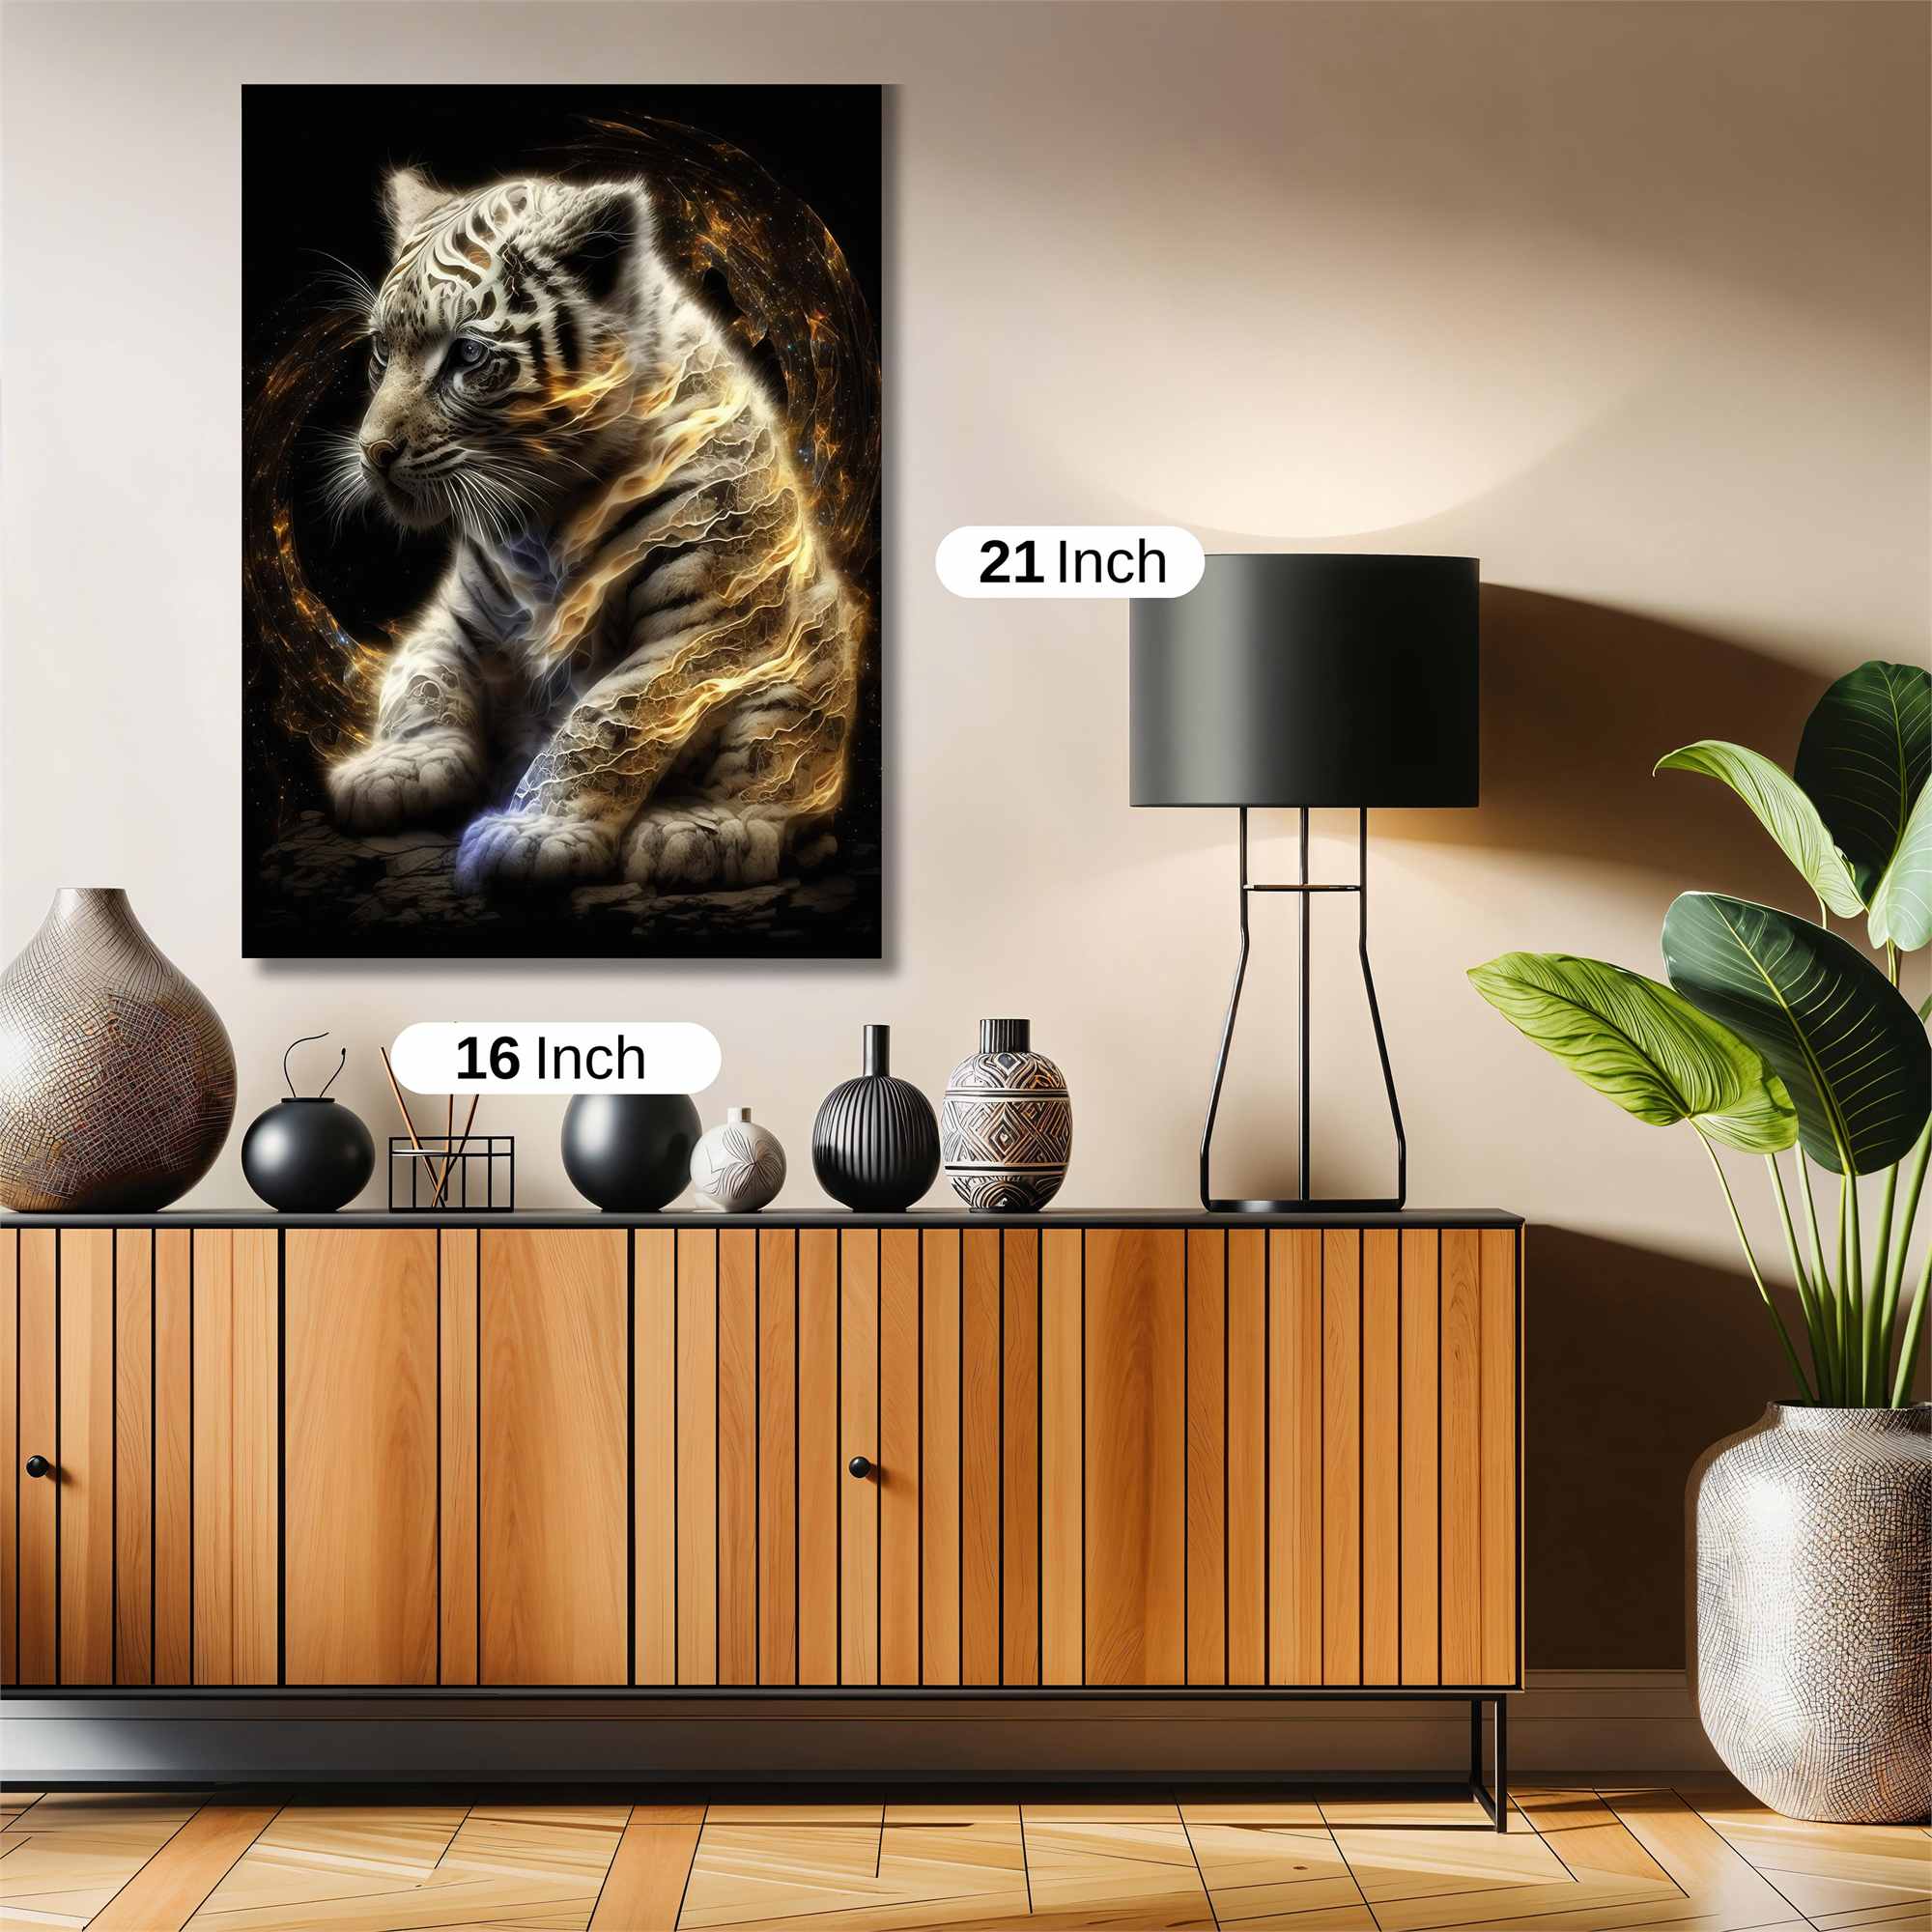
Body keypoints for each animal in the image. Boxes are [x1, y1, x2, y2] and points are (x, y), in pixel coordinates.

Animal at [323, 166, 865, 895]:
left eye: (468, 355)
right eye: (383, 351)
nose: (374, 451)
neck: (538, 518)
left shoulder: (701, 624)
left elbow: (606, 723)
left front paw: (532, 833)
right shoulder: (461, 616)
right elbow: (423, 677)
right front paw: (401, 766)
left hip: (803, 678)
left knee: (778, 775)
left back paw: (699, 830)